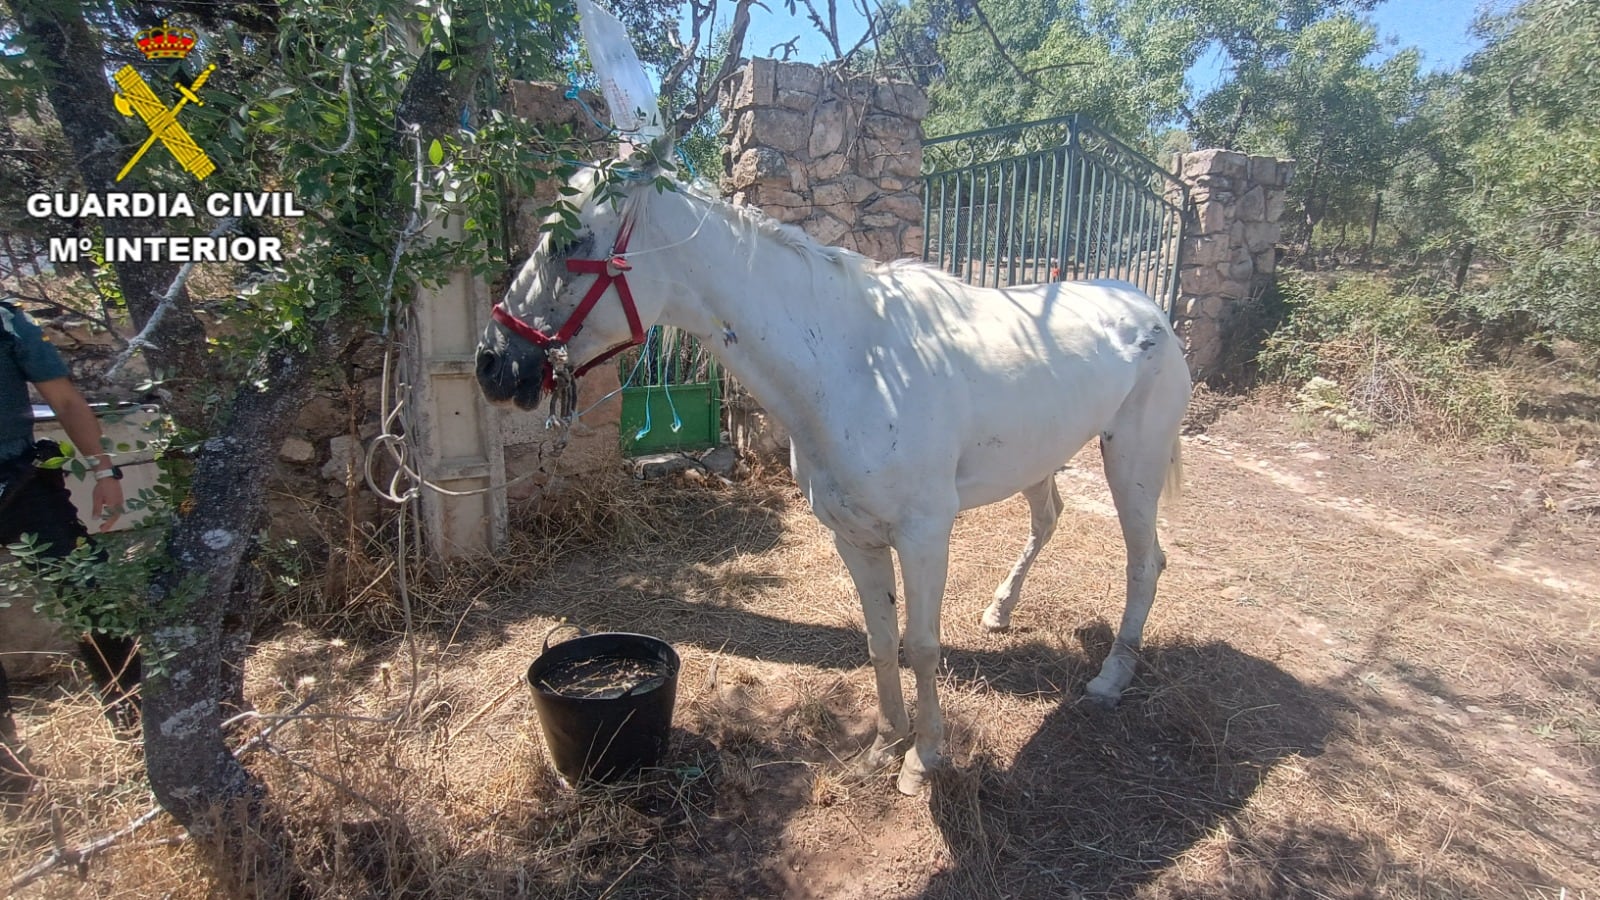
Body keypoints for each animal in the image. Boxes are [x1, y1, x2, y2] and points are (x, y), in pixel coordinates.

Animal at [480, 157, 1196, 787]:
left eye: (569, 240)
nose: (494, 365)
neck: (854, 365)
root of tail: (1149, 310)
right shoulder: (853, 537)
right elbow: (880, 642)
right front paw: (883, 747)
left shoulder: (924, 537)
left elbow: (923, 643)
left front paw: (925, 760)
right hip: (1042, 459)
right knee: (1049, 520)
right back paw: (1000, 609)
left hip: (1132, 462)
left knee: (1146, 561)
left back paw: (1110, 677)